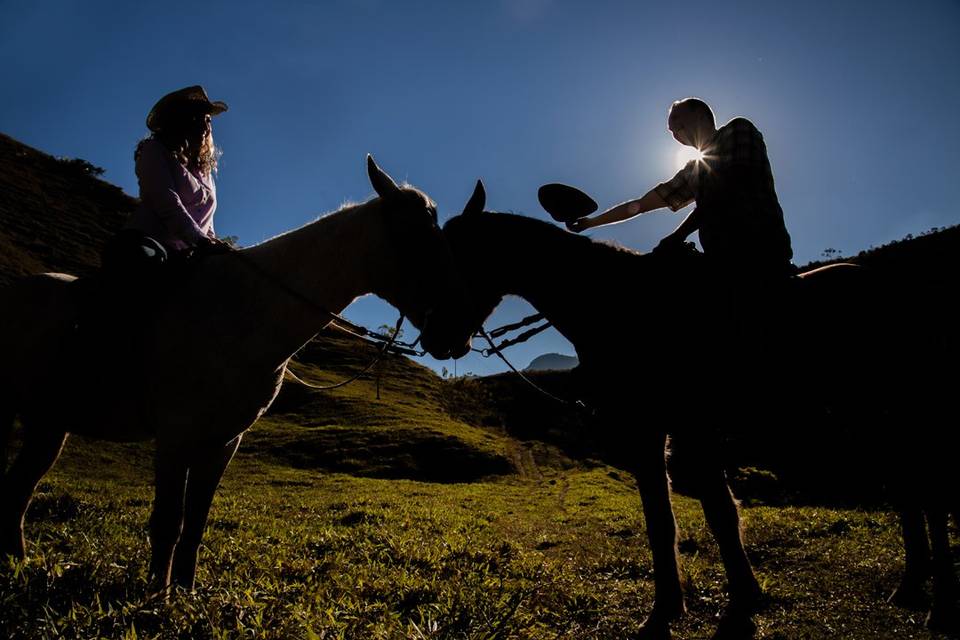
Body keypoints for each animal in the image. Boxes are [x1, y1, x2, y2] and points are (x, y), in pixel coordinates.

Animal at [0, 158, 464, 592]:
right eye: (419, 239)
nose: (454, 333)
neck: (244, 312)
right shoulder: (175, 436)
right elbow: (168, 522)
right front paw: (158, 598)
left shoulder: (223, 442)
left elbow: (195, 523)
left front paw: (184, 593)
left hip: (49, 424)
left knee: (18, 489)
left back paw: (18, 565)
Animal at [430, 180, 960, 640]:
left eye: (453, 256)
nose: (438, 341)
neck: (618, 304)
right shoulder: (647, 432)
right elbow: (662, 520)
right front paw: (671, 608)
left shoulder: (687, 427)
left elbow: (718, 511)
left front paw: (739, 601)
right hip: (867, 412)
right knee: (907, 484)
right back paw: (911, 585)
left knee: (927, 488)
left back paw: (938, 606)